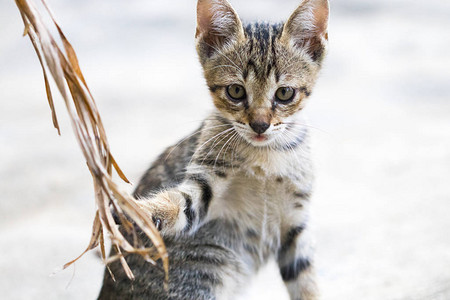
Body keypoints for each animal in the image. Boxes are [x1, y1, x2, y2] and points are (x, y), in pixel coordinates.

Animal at [99, 0, 326, 298]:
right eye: (236, 91)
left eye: (284, 93)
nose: (260, 125)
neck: (265, 156)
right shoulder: (204, 182)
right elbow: (179, 204)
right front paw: (139, 210)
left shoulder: (296, 221)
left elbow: (306, 281)